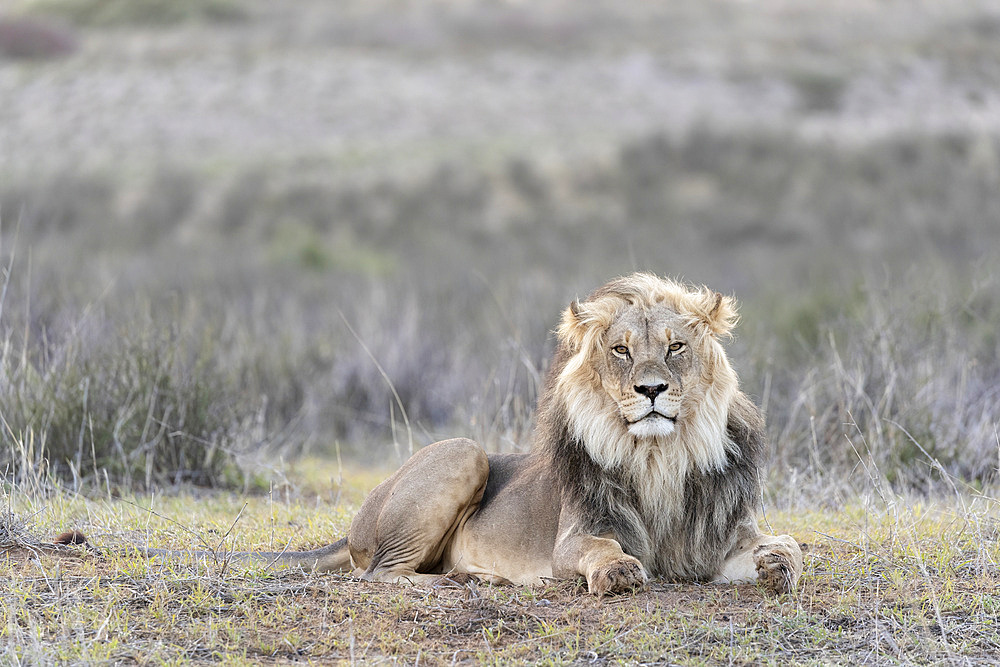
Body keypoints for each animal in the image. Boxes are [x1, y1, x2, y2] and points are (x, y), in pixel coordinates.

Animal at [68, 274, 804, 596]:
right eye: (622, 350)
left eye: (675, 347)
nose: (651, 389)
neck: (659, 456)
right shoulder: (574, 536)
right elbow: (600, 550)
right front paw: (620, 569)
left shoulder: (721, 538)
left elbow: (784, 545)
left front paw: (779, 563)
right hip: (464, 453)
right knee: (382, 575)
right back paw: (458, 578)